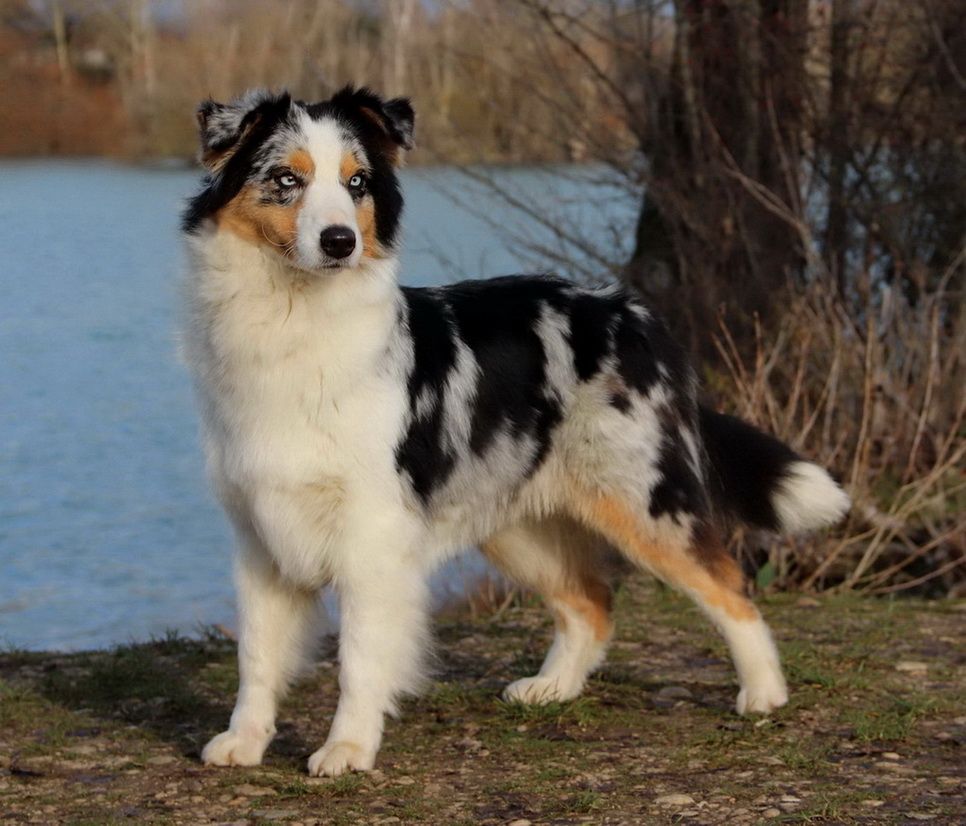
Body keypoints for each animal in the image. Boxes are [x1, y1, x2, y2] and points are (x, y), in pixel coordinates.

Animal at [183, 87, 856, 776]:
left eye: (357, 183)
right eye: (286, 179)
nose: (340, 241)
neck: (295, 321)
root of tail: (633, 312)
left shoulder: (372, 537)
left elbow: (360, 657)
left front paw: (347, 747)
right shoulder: (260, 535)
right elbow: (257, 655)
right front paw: (245, 741)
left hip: (643, 502)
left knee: (729, 587)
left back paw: (764, 693)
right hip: (516, 522)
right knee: (592, 603)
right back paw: (553, 688)